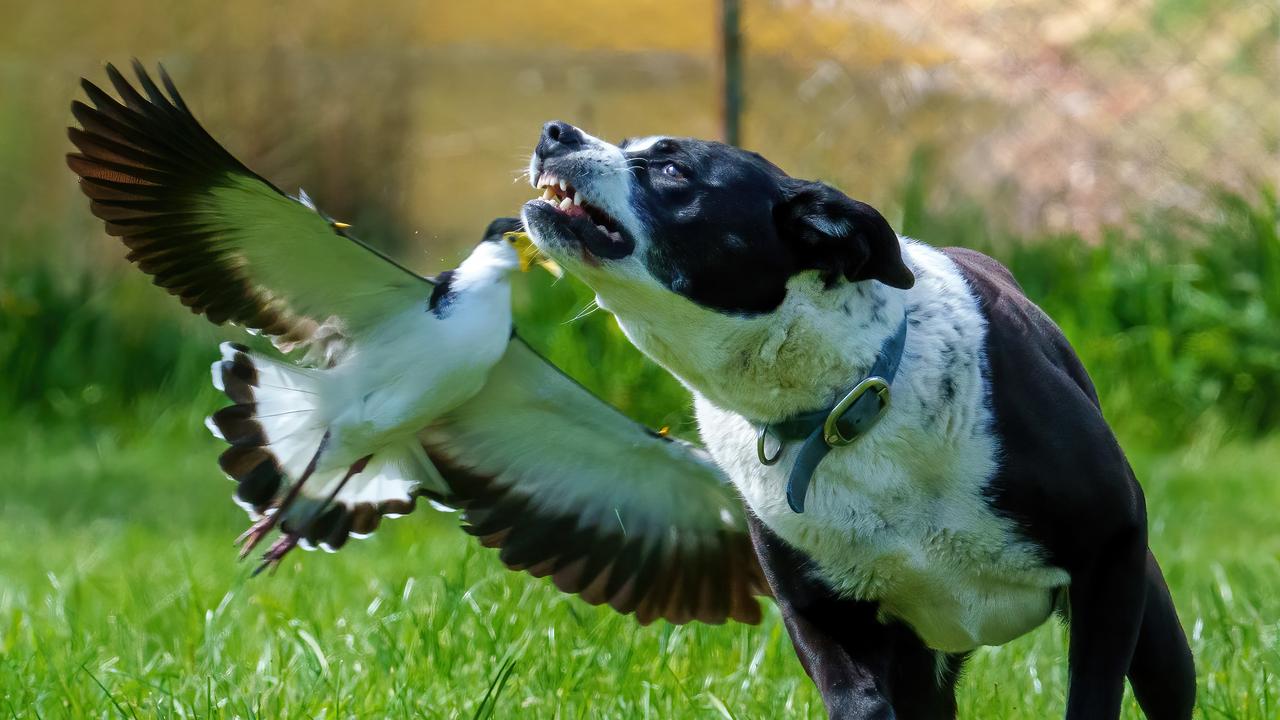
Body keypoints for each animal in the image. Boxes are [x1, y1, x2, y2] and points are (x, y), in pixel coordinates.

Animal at [519, 120, 1198, 712]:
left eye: (671, 170)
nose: (556, 132)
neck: (840, 408)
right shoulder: (830, 630)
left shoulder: (1111, 552)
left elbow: (1091, 696)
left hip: (1155, 632)